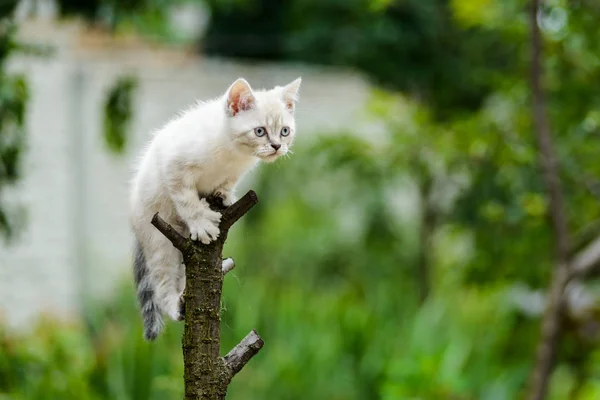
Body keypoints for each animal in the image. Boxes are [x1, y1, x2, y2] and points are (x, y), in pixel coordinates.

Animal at [129, 76, 302, 340]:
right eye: (259, 131)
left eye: (285, 131)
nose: (276, 146)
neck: (232, 153)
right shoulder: (173, 166)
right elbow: (186, 198)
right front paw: (201, 222)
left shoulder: (234, 173)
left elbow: (227, 183)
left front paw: (224, 196)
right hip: (158, 236)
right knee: (162, 279)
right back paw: (174, 304)